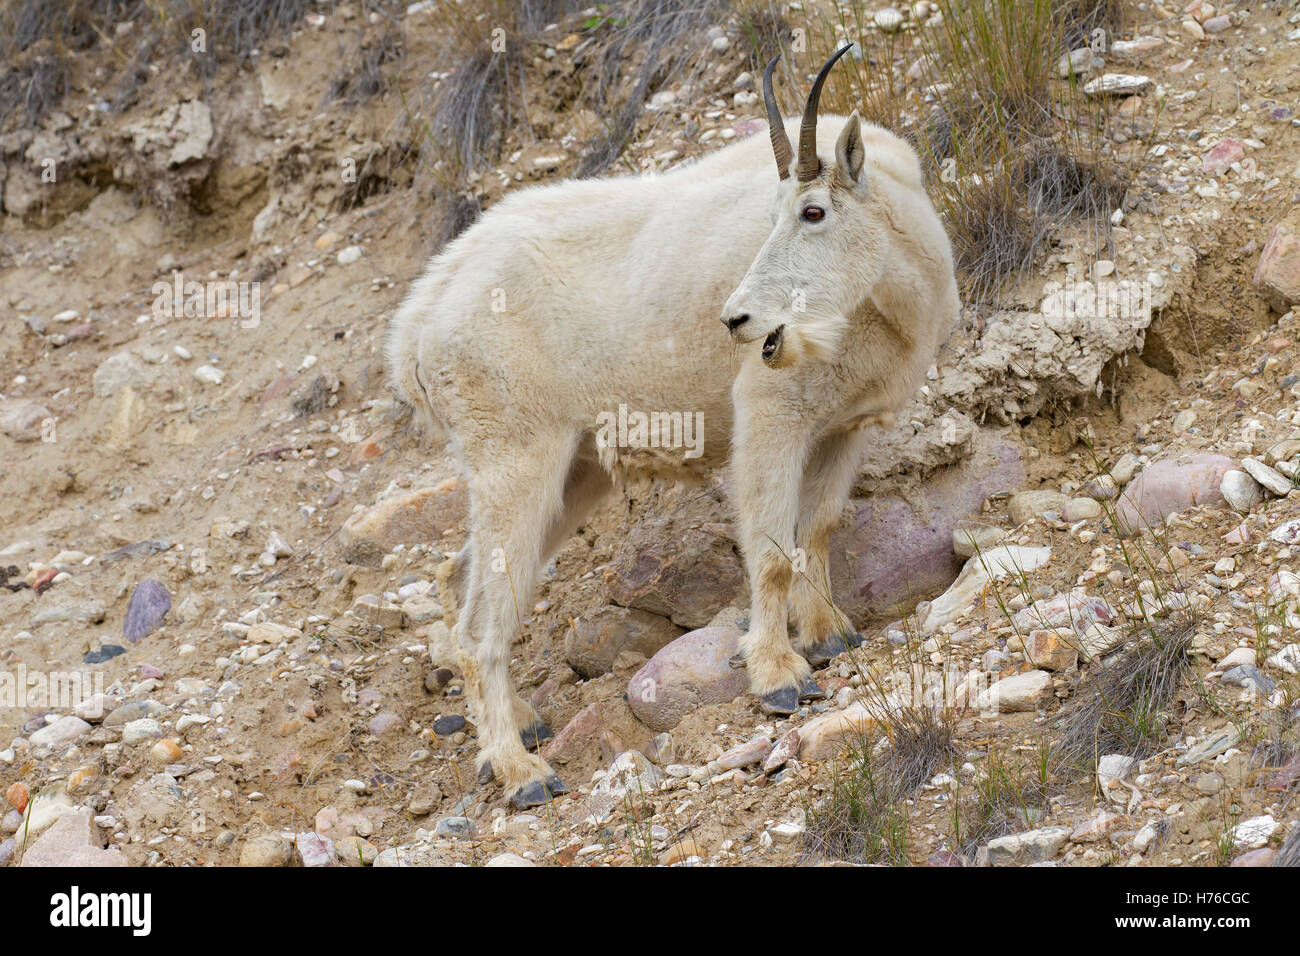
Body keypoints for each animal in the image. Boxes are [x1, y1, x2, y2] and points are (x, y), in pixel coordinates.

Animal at [382, 46, 956, 806]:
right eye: (778, 214)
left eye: (813, 211)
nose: (740, 319)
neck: (890, 295)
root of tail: (417, 324)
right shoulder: (769, 415)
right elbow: (772, 549)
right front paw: (778, 676)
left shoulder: (842, 427)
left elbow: (820, 528)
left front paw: (830, 635)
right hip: (514, 454)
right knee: (482, 623)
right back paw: (520, 771)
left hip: (575, 470)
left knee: (460, 577)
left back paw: (522, 724)